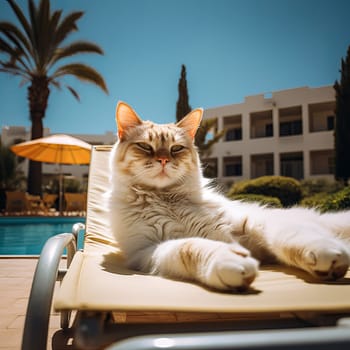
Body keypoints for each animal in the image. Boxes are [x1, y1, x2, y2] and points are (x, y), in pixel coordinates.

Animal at [107, 102, 350, 292]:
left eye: (176, 149)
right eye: (145, 146)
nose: (164, 160)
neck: (167, 199)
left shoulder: (256, 224)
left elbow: (294, 238)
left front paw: (326, 255)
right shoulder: (147, 250)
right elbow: (190, 247)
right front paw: (230, 262)